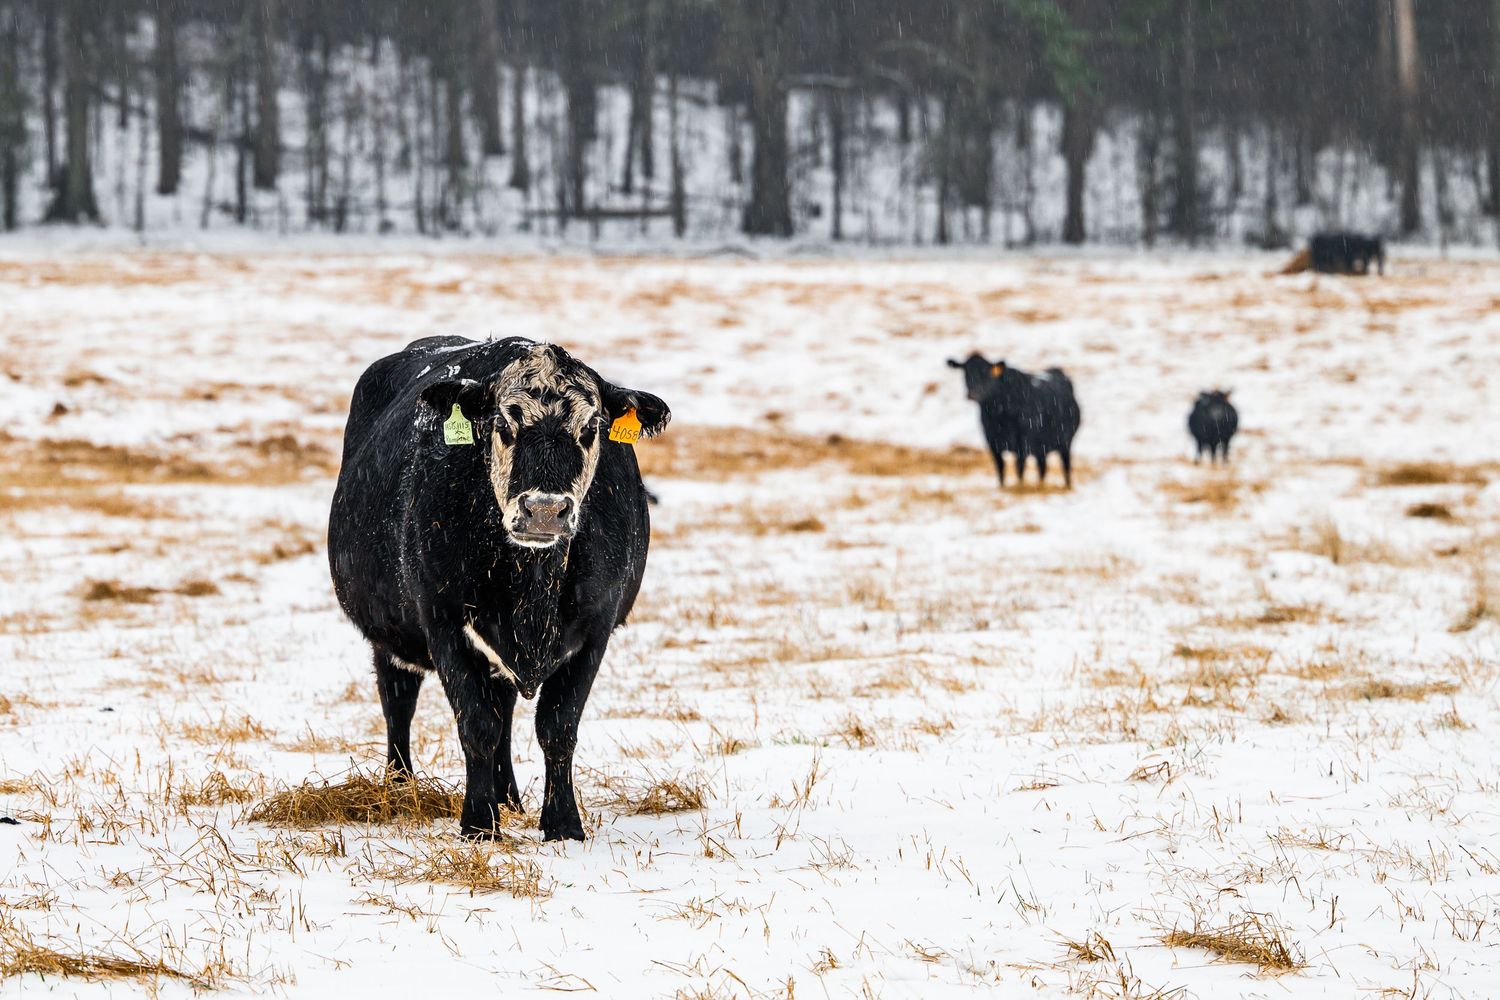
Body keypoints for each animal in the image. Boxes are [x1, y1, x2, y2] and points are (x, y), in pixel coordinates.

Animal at [327, 336, 670, 841]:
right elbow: (476, 725)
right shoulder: (444, 621)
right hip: (390, 633)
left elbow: (557, 726)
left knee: (503, 708)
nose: (544, 510)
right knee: (399, 702)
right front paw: (479, 823)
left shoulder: (596, 627)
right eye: (504, 423)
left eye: (592, 427)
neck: (532, 589)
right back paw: (400, 787)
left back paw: (509, 798)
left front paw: (563, 825)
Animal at [947, 353, 1081, 488]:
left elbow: (1019, 469)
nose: (973, 394)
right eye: (965, 372)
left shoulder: (1022, 444)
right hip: (1041, 448)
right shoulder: (992, 443)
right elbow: (1000, 469)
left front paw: (1019, 488)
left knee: (1065, 466)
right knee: (1042, 467)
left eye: (987, 373)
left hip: (1065, 443)